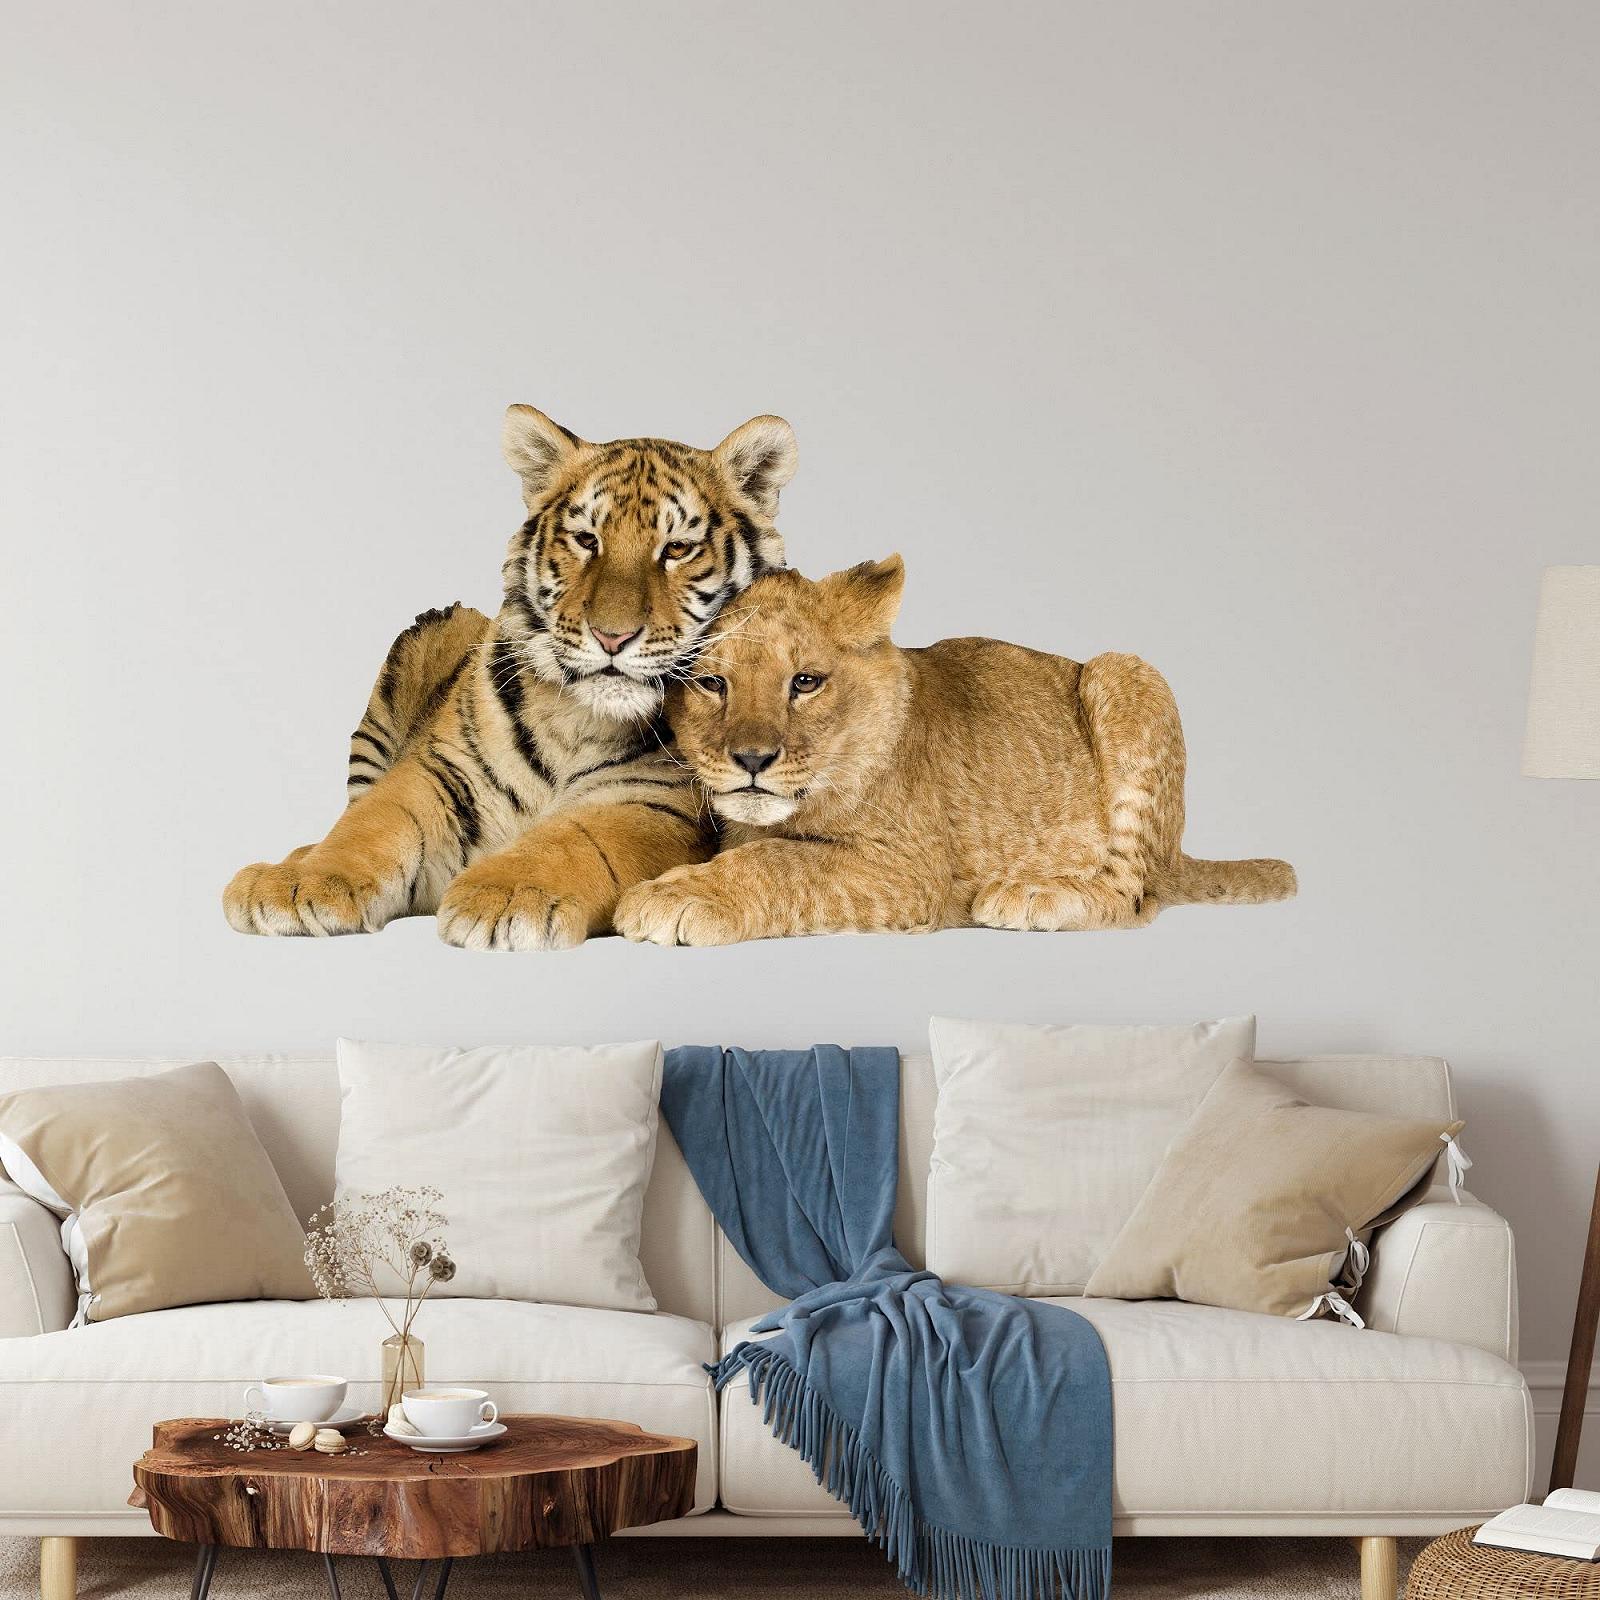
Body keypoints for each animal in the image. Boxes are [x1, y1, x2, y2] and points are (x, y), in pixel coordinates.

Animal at [223, 405, 795, 949]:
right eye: (586, 540)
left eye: (677, 549)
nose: (612, 637)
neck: (577, 717)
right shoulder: (439, 771)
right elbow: (372, 821)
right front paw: (300, 884)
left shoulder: (653, 805)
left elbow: (575, 839)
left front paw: (507, 895)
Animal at [614, 555, 1296, 945]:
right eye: (711, 683)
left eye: (804, 682)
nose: (752, 760)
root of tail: (1180, 853)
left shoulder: (909, 870)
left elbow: (782, 861)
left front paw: (677, 897)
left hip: (1125, 670)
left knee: (1135, 896)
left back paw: (1033, 896)